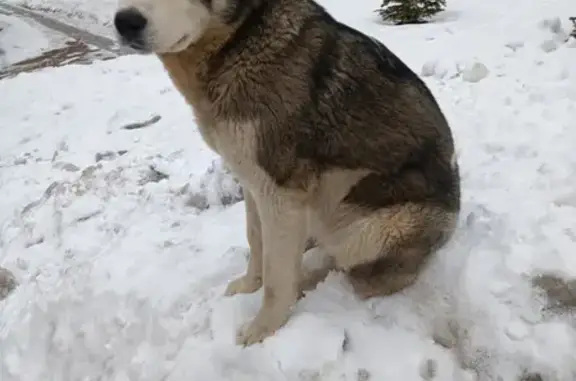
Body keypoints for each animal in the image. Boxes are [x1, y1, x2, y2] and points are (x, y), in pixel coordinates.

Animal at [115, 0, 462, 348]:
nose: (124, 22)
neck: (237, 42)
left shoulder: (280, 190)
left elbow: (276, 276)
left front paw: (264, 329)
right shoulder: (252, 181)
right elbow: (256, 240)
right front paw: (248, 285)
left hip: (369, 227)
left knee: (342, 262)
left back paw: (307, 278)